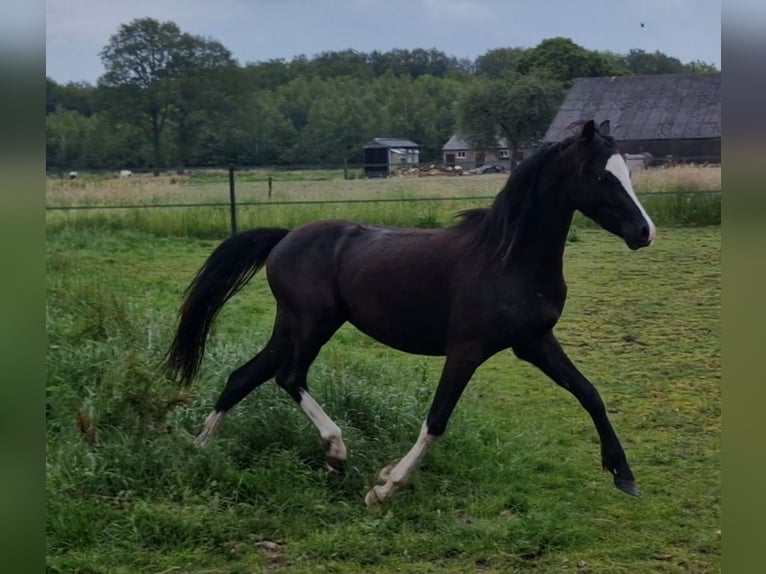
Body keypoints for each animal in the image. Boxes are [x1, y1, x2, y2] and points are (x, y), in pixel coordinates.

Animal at [165, 119, 656, 506]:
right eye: (600, 175)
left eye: (627, 171)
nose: (644, 232)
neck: (506, 258)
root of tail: (285, 238)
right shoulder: (467, 349)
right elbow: (437, 419)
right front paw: (386, 487)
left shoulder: (534, 342)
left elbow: (589, 393)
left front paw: (624, 475)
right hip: (311, 324)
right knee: (288, 377)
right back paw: (335, 452)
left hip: (292, 326)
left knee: (244, 376)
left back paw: (198, 447)